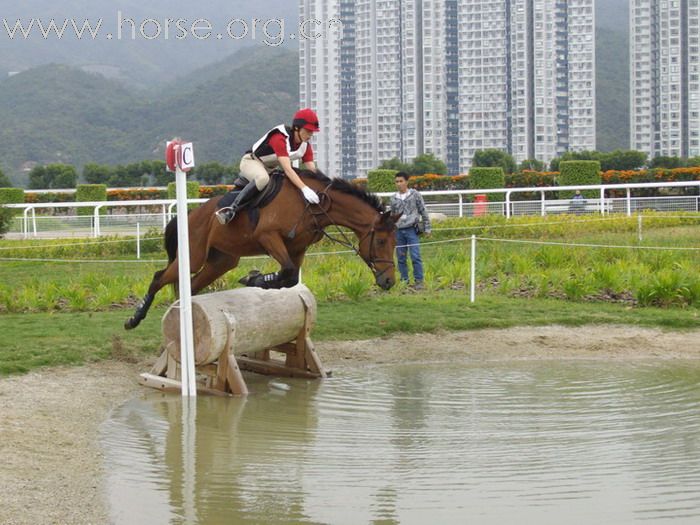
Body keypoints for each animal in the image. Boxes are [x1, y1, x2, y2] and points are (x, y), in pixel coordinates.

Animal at [124, 170, 400, 330]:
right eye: (381, 242)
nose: (389, 281)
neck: (314, 205)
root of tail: (190, 214)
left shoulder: (297, 248)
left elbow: (291, 277)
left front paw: (256, 278)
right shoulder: (268, 237)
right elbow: (286, 271)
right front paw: (253, 278)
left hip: (221, 262)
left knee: (189, 287)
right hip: (193, 256)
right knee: (159, 278)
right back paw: (134, 319)